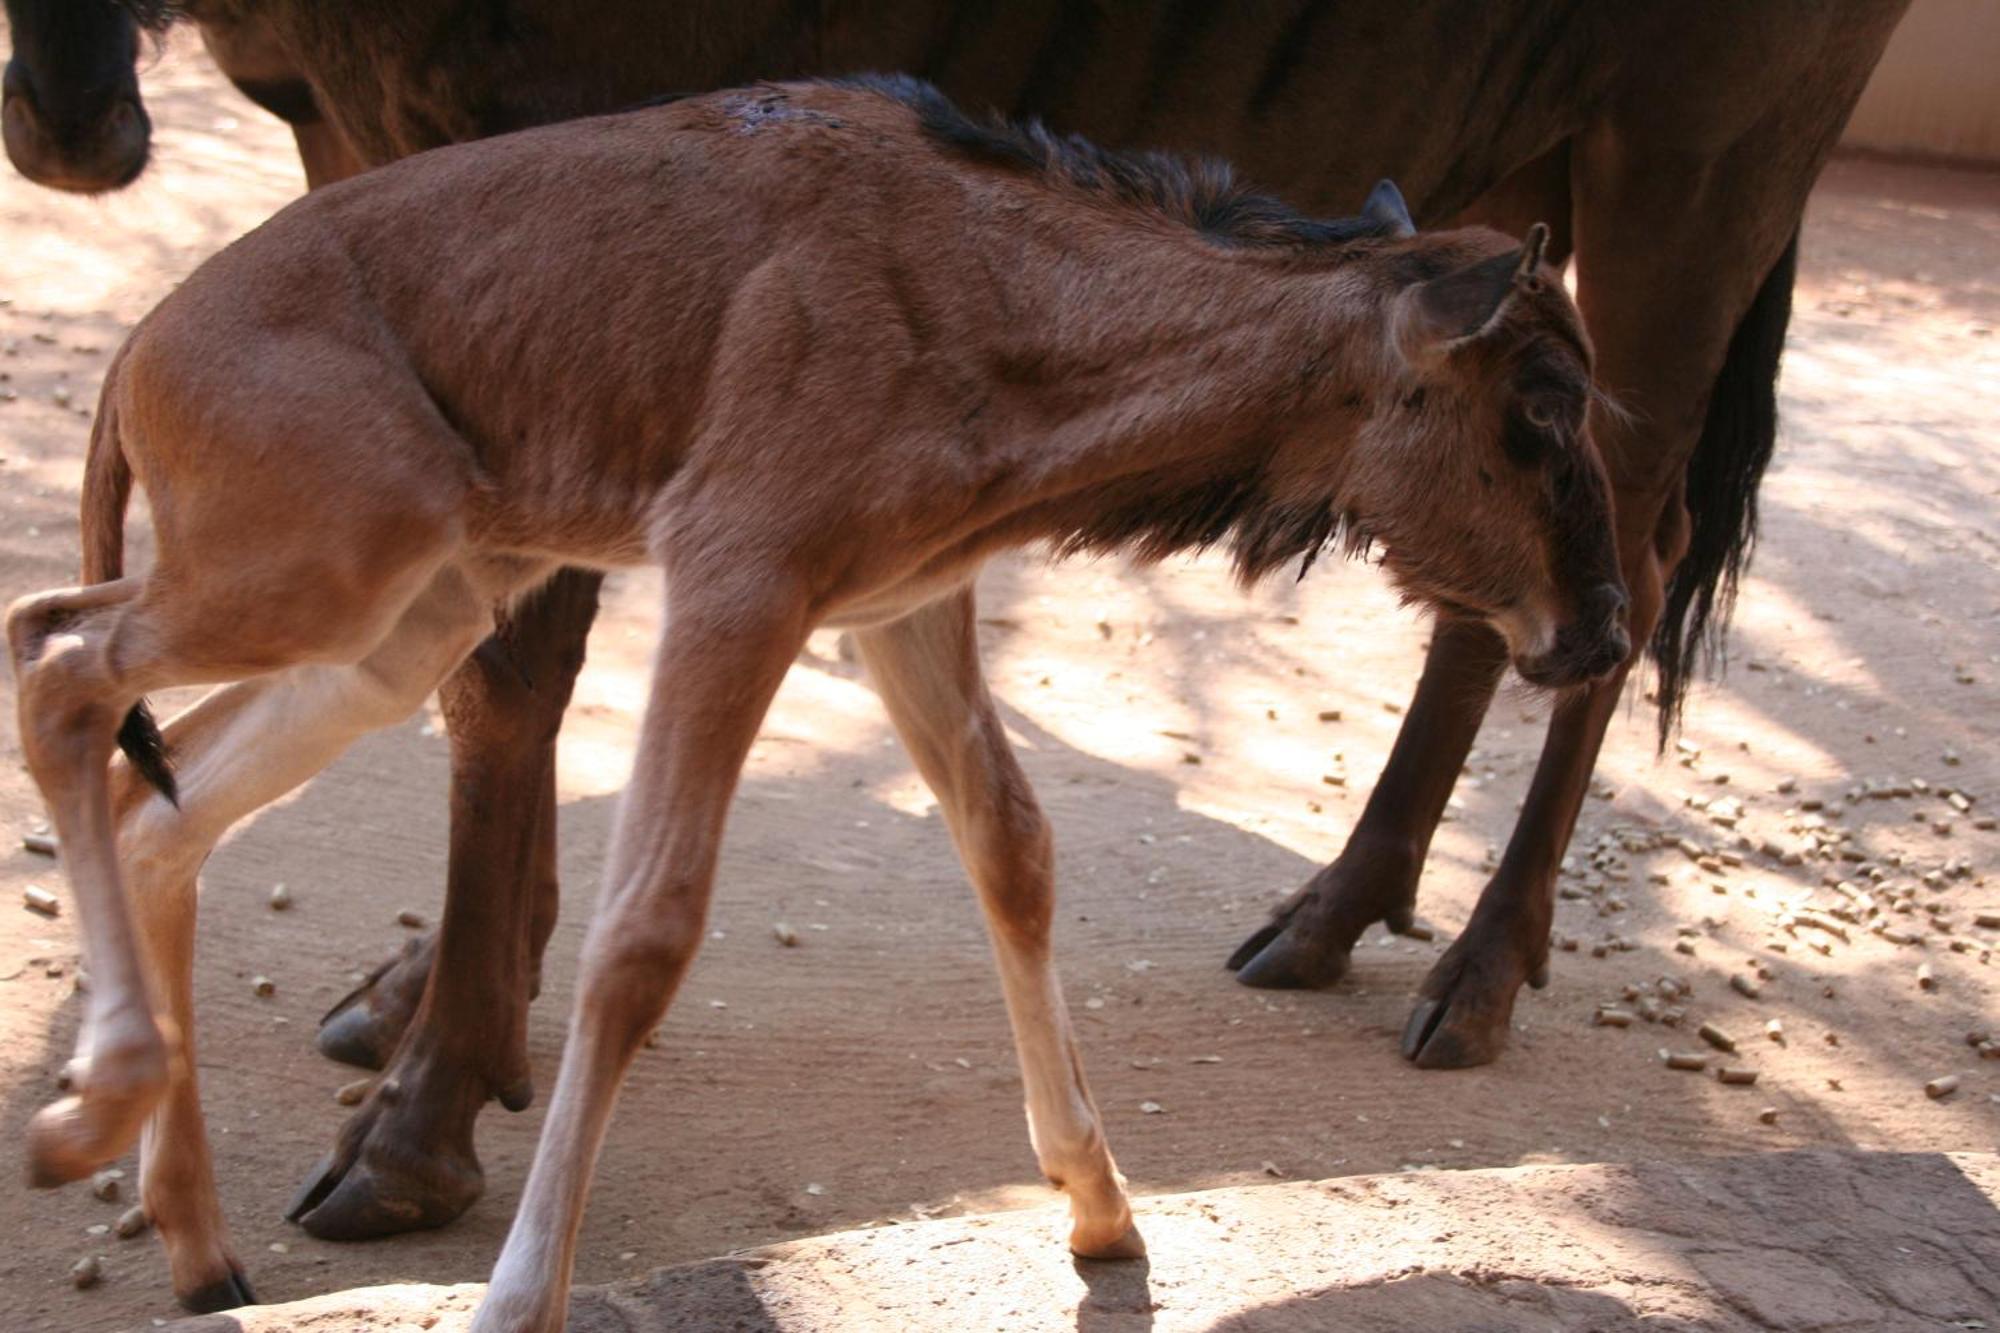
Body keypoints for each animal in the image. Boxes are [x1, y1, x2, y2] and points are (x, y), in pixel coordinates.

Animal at [11, 78, 1624, 1320]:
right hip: (319, 565)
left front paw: (1100, 1206)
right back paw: (89, 1114)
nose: (1603, 629)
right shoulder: (738, 571)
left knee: (159, 797)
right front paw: (519, 1299)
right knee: (58, 655)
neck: (994, 292)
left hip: (409, 612)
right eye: (1539, 405)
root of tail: (138, 356)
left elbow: (1015, 847)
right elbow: (641, 937)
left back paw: (197, 1242)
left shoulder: (899, 604)